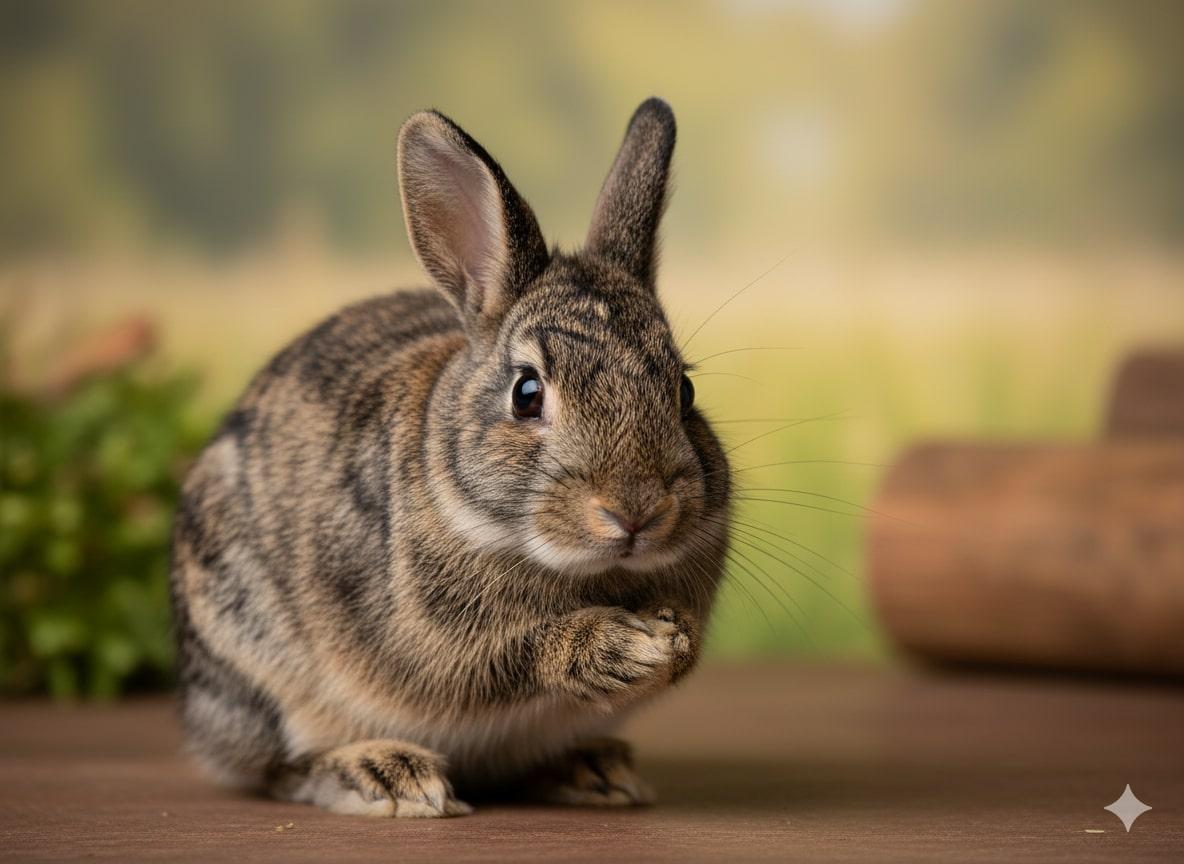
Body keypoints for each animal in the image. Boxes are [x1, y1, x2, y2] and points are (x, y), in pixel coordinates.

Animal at [170, 97, 732, 818]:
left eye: (683, 390)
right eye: (527, 394)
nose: (636, 511)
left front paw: (672, 640)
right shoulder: (440, 643)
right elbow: (511, 655)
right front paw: (620, 645)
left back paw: (595, 771)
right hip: (254, 664)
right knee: (279, 768)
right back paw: (388, 775)